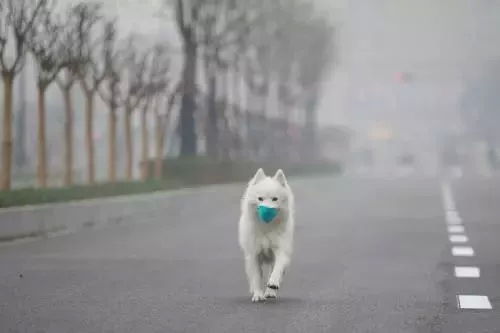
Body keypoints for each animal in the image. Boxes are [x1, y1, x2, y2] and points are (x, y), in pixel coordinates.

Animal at [237, 169, 292, 300]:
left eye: (275, 199)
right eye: (260, 199)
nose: (267, 211)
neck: (266, 227)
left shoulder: (280, 250)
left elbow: (277, 268)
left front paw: (273, 284)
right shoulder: (254, 255)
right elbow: (256, 277)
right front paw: (258, 295)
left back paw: (270, 292)